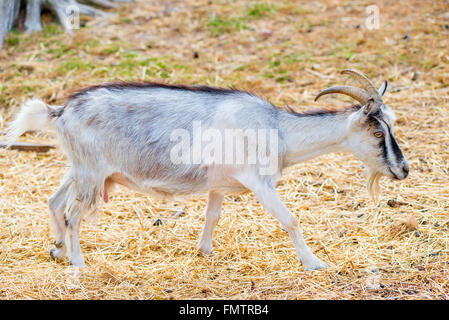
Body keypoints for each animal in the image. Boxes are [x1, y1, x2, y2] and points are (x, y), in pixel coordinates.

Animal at [6, 70, 410, 270]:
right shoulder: (260, 183)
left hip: (82, 169)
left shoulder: (219, 184)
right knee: (73, 215)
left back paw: (58, 250)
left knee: (54, 202)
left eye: (391, 125)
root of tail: (61, 111)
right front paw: (314, 263)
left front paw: (205, 252)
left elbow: (212, 216)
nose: (403, 169)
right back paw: (77, 262)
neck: (278, 129)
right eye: (377, 131)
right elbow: (290, 220)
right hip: (91, 174)